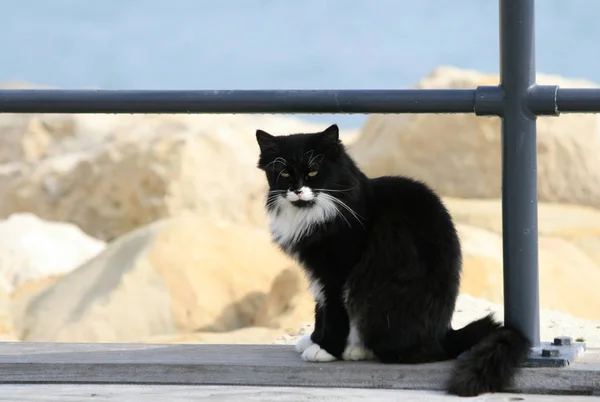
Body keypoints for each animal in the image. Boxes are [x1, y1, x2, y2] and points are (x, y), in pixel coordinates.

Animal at [253, 123, 528, 396]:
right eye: (284, 174)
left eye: (313, 171)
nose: (297, 190)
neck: (315, 212)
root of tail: (444, 336)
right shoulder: (318, 274)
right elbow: (320, 308)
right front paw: (314, 339)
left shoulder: (338, 272)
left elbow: (333, 312)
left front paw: (325, 348)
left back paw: (354, 350)